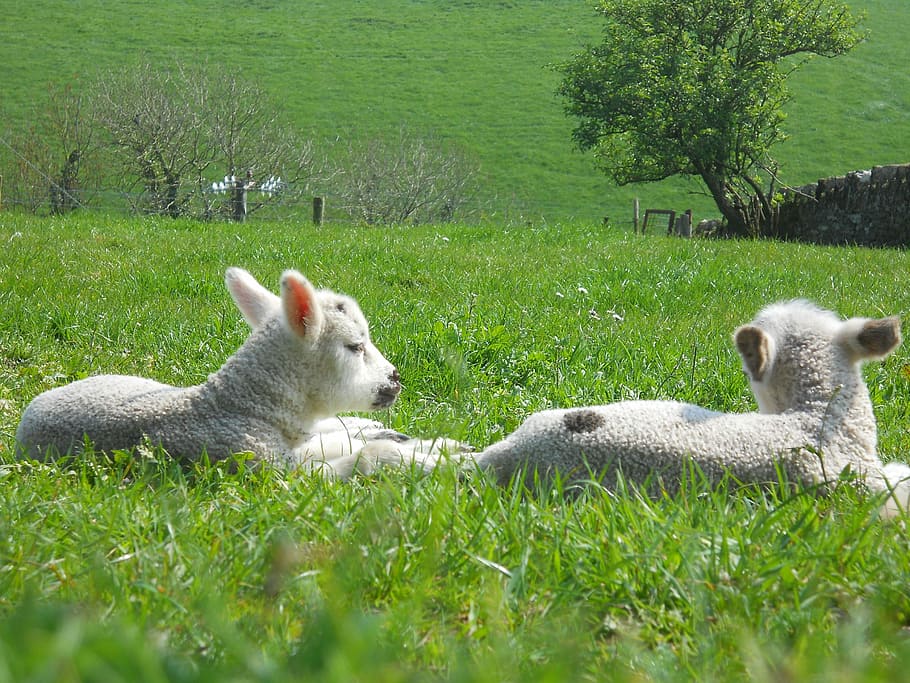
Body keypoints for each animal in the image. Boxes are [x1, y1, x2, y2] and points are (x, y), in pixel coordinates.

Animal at [15, 267, 464, 478]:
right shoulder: (269, 471)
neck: (239, 407)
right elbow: (369, 457)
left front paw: (442, 448)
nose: (395, 380)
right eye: (355, 347)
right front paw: (442, 460)